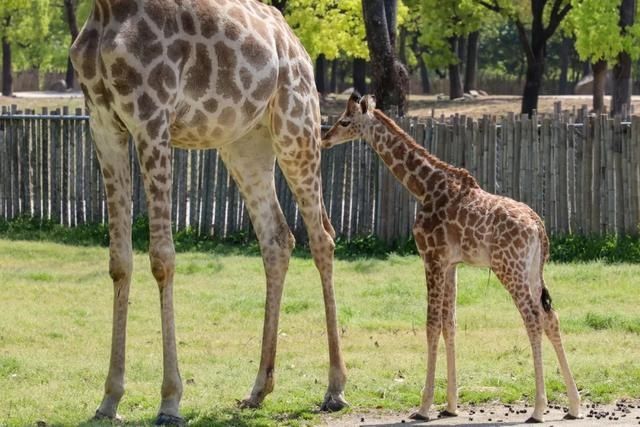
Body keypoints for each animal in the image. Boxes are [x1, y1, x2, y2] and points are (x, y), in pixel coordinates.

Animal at [70, 0, 348, 422]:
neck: (108, 10)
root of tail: (296, 45)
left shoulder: (152, 119)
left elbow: (162, 258)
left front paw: (170, 400)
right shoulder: (103, 124)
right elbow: (119, 260)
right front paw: (109, 400)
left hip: (296, 126)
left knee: (322, 238)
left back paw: (334, 388)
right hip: (245, 143)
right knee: (277, 239)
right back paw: (259, 389)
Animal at [322, 92, 584, 422]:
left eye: (345, 121)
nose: (324, 139)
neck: (424, 188)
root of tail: (538, 226)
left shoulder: (431, 257)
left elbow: (432, 324)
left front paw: (424, 407)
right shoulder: (451, 265)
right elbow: (451, 324)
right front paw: (450, 405)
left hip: (509, 268)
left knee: (533, 318)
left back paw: (538, 408)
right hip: (533, 271)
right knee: (551, 317)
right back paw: (574, 405)